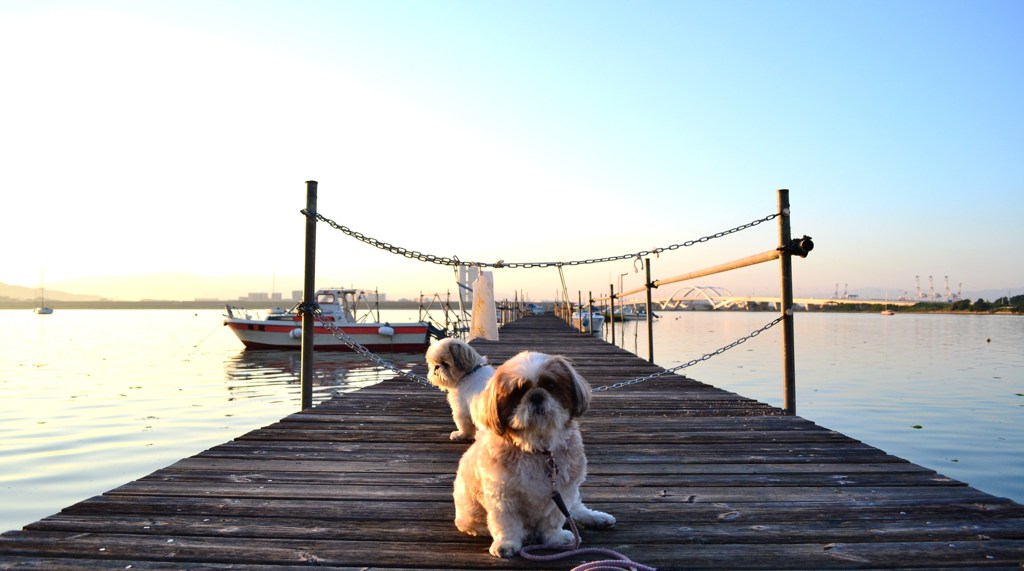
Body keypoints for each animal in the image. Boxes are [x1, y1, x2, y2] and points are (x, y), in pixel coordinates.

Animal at [452, 352, 610, 560]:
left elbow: (555, 518)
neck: (538, 448)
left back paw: (597, 518)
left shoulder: (563, 490)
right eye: (518, 392)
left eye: (550, 386)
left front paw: (556, 538)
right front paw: (507, 543)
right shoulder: (502, 495)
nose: (536, 396)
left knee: (575, 510)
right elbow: (506, 522)